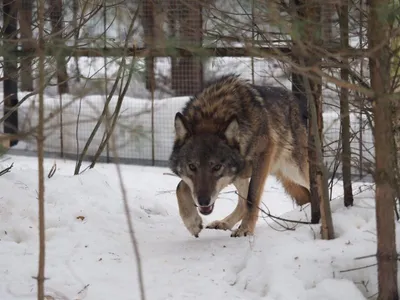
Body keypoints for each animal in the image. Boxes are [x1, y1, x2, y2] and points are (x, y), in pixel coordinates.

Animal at [167, 74, 310, 238]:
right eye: (192, 166)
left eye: (217, 167)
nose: (203, 201)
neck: (211, 115)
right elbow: (180, 186)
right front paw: (192, 223)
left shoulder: (263, 154)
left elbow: (252, 198)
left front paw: (246, 229)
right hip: (243, 174)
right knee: (242, 202)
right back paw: (224, 223)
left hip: (295, 171)